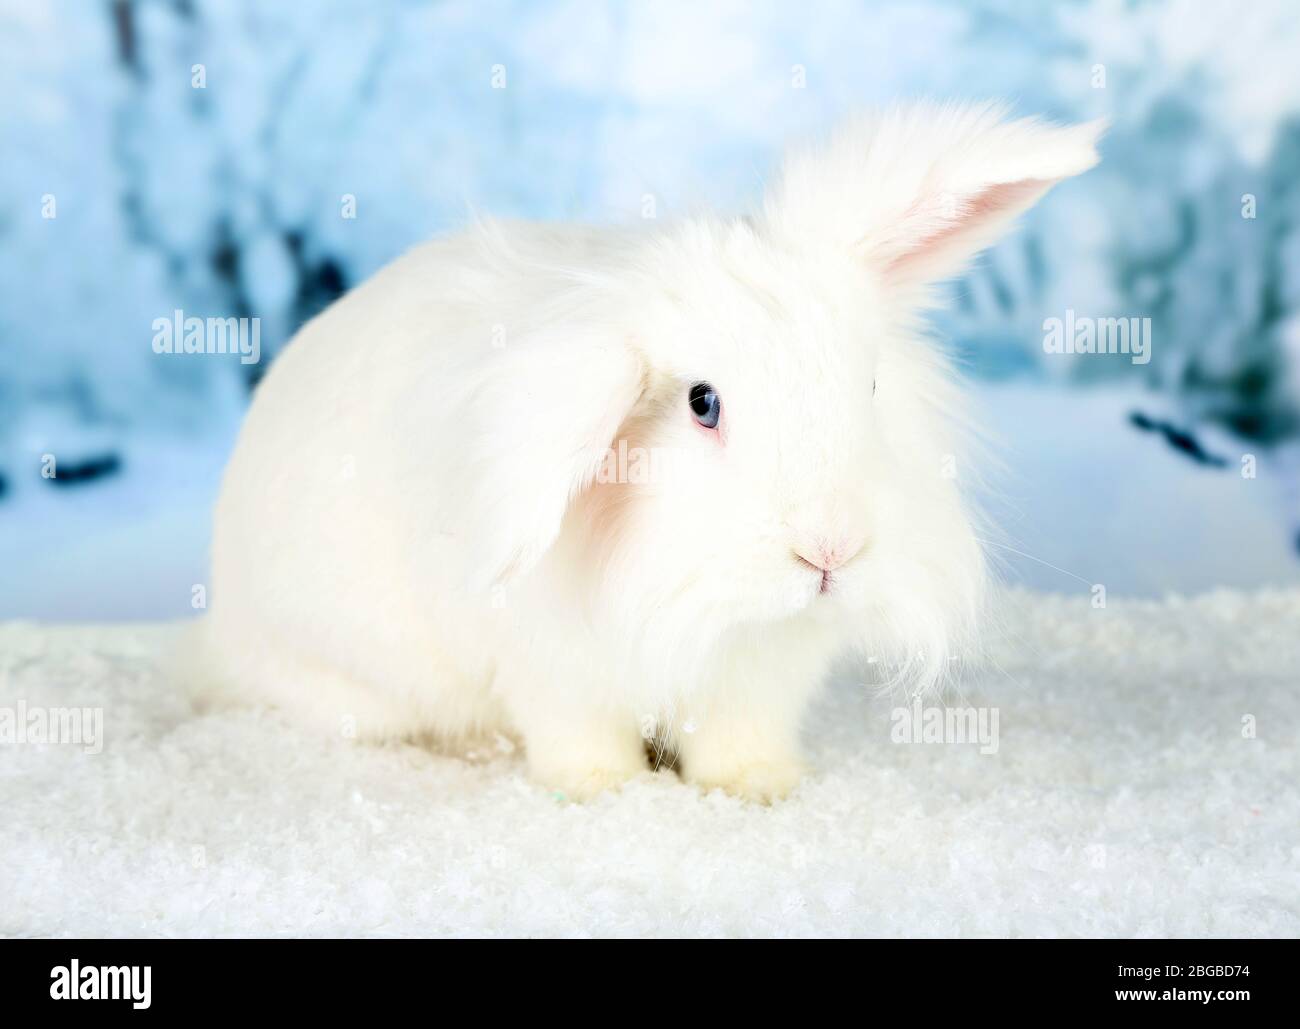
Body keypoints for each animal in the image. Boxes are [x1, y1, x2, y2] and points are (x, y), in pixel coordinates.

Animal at [199, 102, 1102, 801]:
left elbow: (739, 742)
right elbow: (579, 739)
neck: (705, 604)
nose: (830, 550)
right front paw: (604, 790)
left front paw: (761, 787)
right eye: (702, 403)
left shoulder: (757, 679)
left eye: (871, 383)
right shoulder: (556, 673)